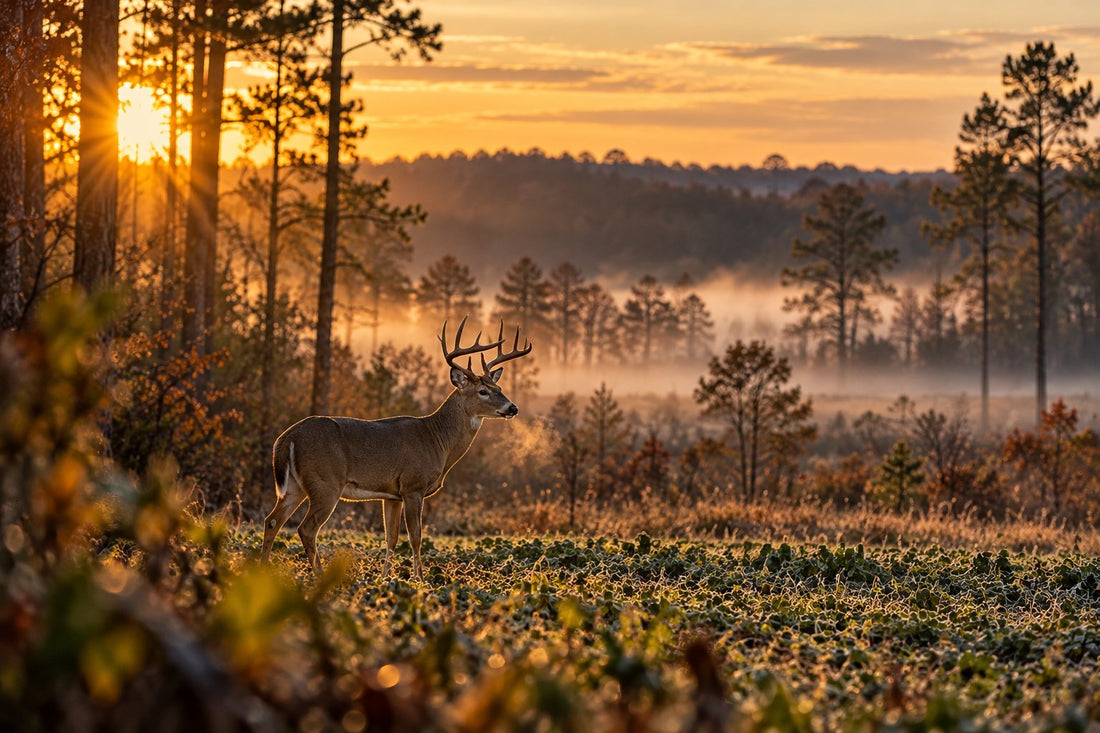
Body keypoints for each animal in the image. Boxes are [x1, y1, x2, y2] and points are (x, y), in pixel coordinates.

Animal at [259, 317, 532, 581]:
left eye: (499, 388)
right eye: (483, 391)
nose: (513, 408)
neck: (437, 441)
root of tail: (286, 438)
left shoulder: (391, 494)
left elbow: (391, 538)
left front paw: (385, 579)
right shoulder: (413, 486)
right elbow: (415, 537)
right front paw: (419, 579)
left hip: (294, 485)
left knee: (272, 520)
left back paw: (262, 571)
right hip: (325, 483)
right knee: (306, 528)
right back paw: (319, 576)